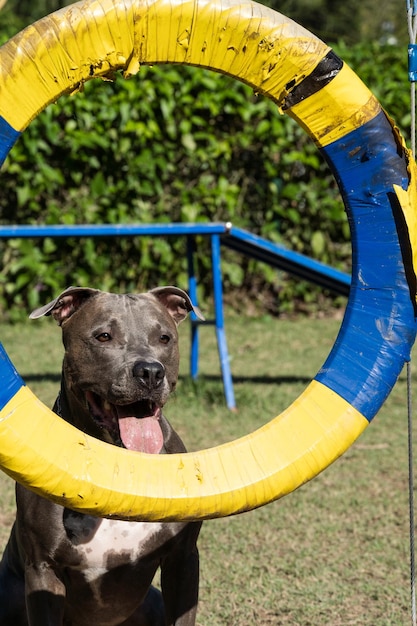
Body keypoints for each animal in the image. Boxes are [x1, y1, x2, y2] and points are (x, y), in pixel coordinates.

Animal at [0, 286, 203, 624]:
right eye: (103, 336)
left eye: (164, 338)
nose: (150, 371)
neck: (118, 462)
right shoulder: (42, 569)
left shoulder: (183, 560)